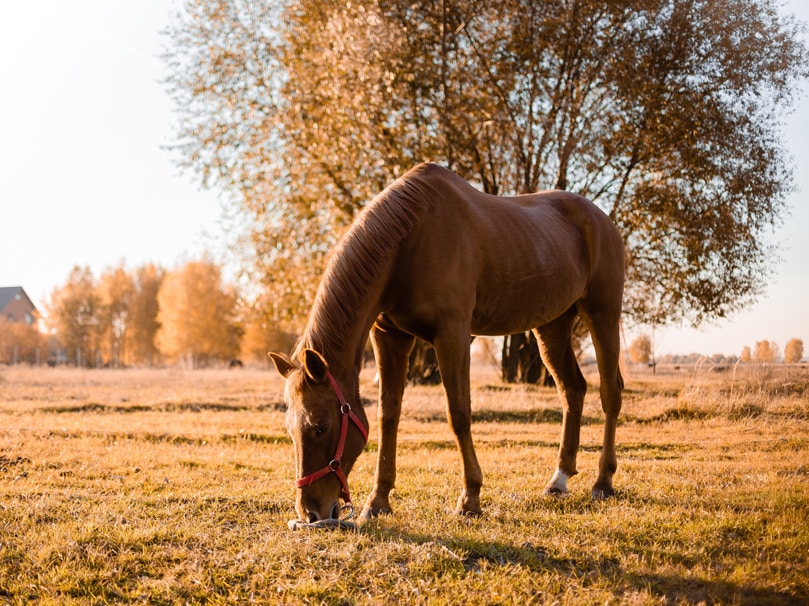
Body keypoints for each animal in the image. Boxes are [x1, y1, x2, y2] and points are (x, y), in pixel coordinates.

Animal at [270, 162, 625, 524]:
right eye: (290, 429)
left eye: (320, 427)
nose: (311, 513)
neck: (410, 241)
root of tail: (602, 220)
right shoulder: (389, 336)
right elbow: (388, 415)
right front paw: (378, 500)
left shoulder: (452, 336)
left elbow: (459, 414)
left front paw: (470, 499)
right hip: (552, 326)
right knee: (573, 390)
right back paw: (559, 479)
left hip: (603, 315)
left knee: (610, 392)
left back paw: (603, 481)